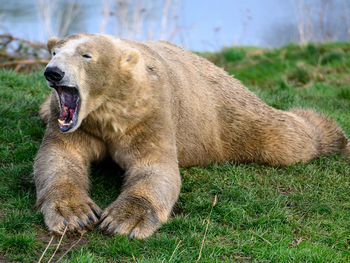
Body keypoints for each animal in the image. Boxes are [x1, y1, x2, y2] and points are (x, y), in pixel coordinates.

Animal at [33, 32, 350, 239]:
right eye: (54, 52)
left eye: (86, 55)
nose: (53, 73)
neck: (110, 110)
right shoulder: (80, 124)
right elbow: (59, 157)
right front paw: (74, 214)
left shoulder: (150, 114)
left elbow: (155, 168)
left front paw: (122, 221)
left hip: (230, 114)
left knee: (284, 139)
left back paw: (332, 135)